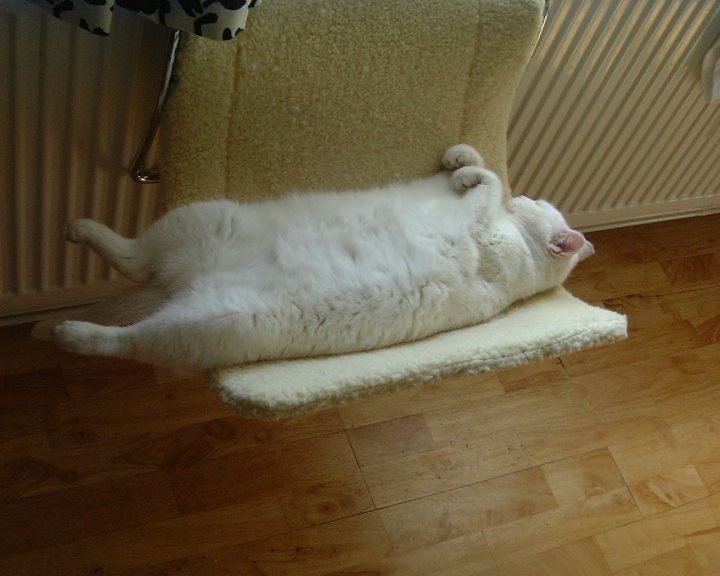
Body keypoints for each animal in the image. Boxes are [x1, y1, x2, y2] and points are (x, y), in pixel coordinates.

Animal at [38, 146, 592, 372]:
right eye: (538, 200)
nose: (530, 197)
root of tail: (183, 284)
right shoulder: (463, 203)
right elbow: (484, 165)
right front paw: (458, 161)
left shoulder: (482, 225)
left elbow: (490, 179)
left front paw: (466, 173)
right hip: (201, 220)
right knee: (134, 258)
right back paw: (76, 237)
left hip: (213, 322)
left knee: (127, 332)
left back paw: (65, 328)